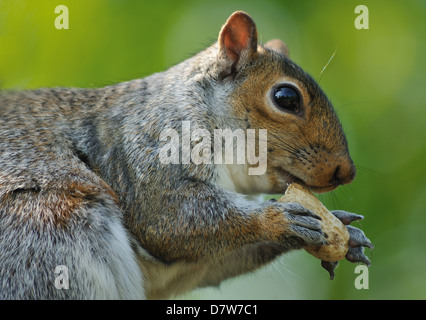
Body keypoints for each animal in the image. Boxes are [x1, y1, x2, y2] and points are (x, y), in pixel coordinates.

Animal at [0, 10, 372, 300]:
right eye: (286, 98)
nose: (346, 171)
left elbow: (208, 262)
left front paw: (345, 231)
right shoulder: (146, 148)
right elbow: (170, 218)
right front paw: (277, 219)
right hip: (46, 230)